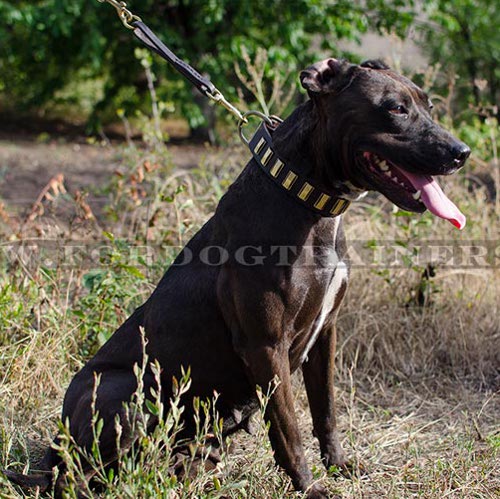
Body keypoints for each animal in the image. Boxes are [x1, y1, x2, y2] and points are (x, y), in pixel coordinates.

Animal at [4, 57, 468, 496]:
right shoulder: (265, 345)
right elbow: (288, 428)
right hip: (122, 391)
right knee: (79, 477)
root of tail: (57, 444)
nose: (460, 152)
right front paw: (310, 487)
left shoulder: (326, 333)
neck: (307, 199)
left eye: (428, 106)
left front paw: (338, 465)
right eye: (395, 109)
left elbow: (326, 411)